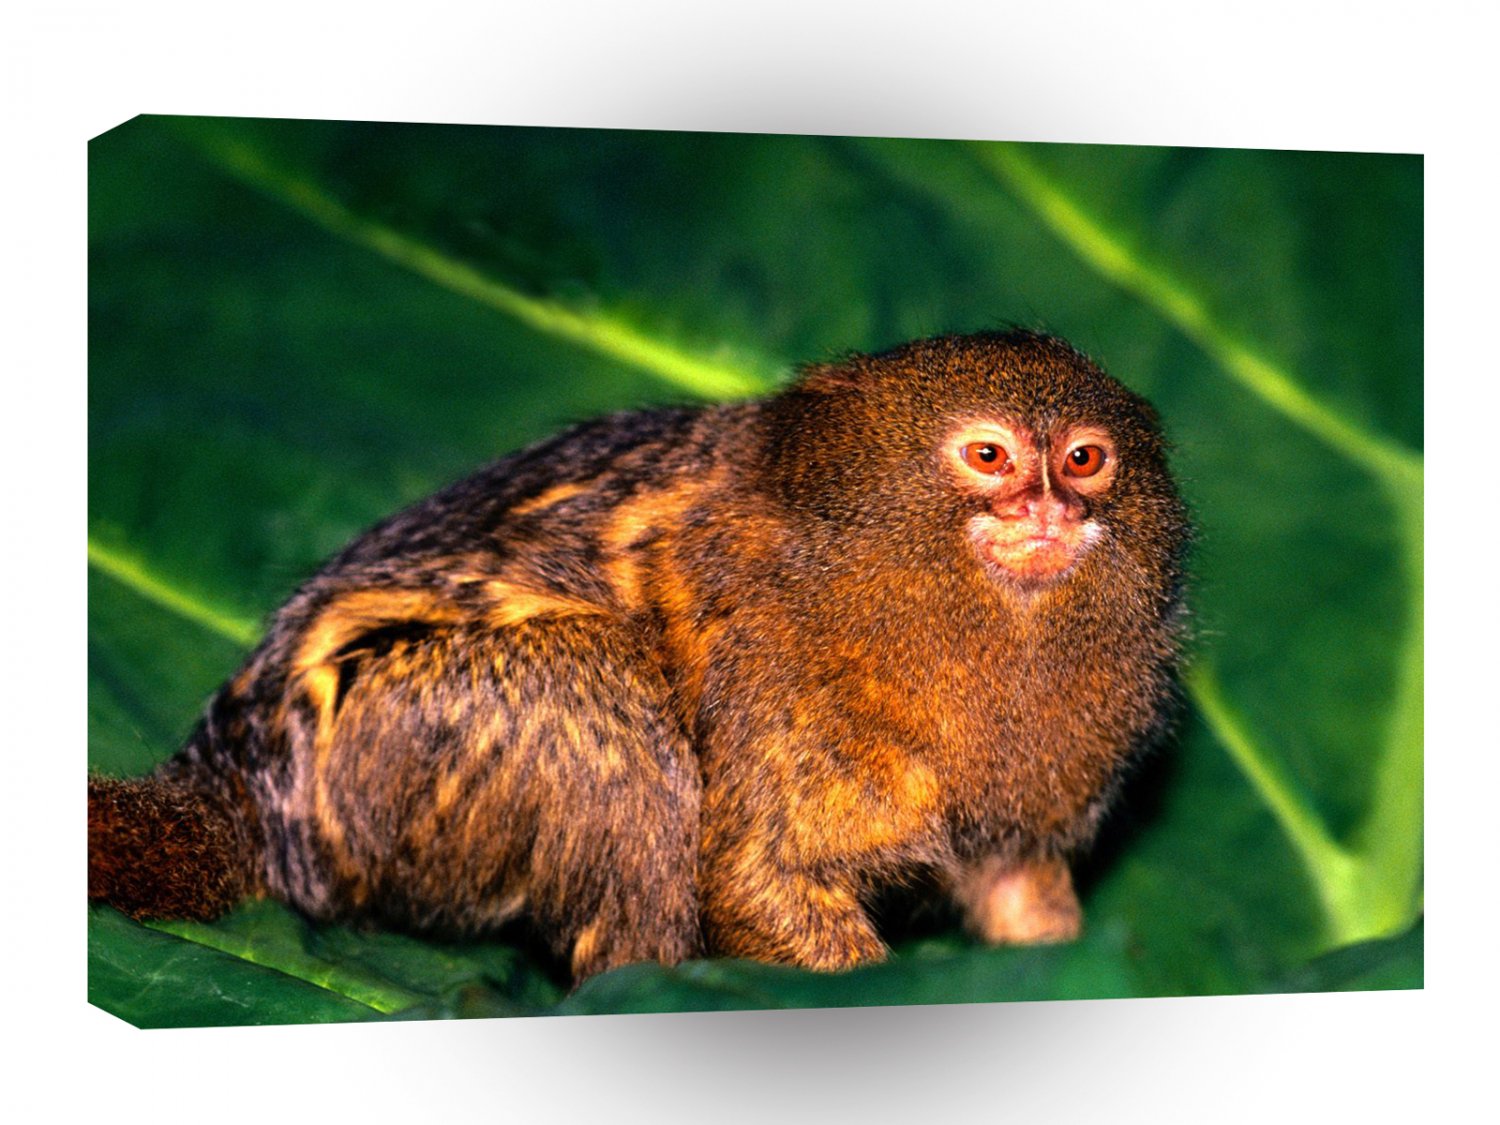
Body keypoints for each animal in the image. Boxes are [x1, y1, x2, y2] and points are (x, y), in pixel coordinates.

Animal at [89, 330, 1190, 983]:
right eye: (990, 456)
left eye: (1085, 458)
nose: (1047, 508)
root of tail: (236, 778)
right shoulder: (771, 676)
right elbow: (756, 876)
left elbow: (1013, 884)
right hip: (395, 743)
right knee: (597, 687)